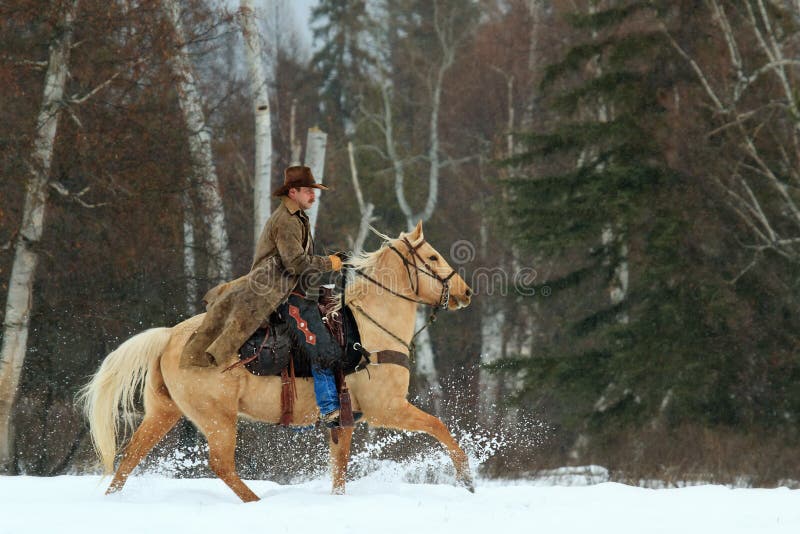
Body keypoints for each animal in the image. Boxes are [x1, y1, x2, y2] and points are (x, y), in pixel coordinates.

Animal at [78, 221, 472, 502]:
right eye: (432, 258)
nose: (465, 292)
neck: (370, 328)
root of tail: (169, 337)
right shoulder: (386, 409)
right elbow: (438, 427)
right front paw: (466, 478)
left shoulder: (346, 420)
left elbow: (339, 468)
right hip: (218, 419)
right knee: (221, 464)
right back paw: (256, 503)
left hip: (164, 412)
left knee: (131, 456)